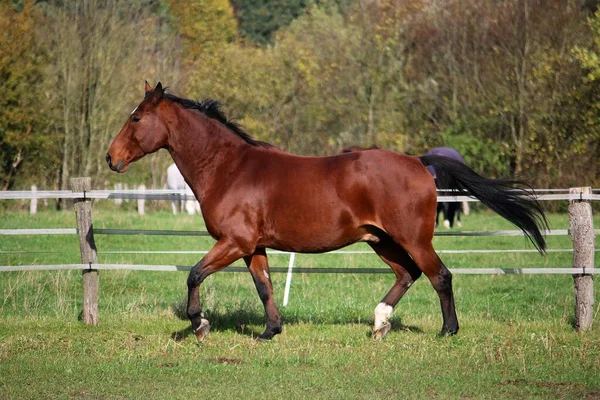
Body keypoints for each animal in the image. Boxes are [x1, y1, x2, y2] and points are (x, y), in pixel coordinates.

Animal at [105, 82, 548, 344]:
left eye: (136, 117)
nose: (111, 158)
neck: (228, 168)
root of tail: (419, 162)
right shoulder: (253, 247)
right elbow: (264, 286)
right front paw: (270, 330)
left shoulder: (234, 242)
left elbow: (195, 274)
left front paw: (199, 324)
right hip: (380, 240)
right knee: (408, 274)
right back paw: (379, 322)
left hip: (412, 238)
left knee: (439, 276)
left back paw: (446, 331)